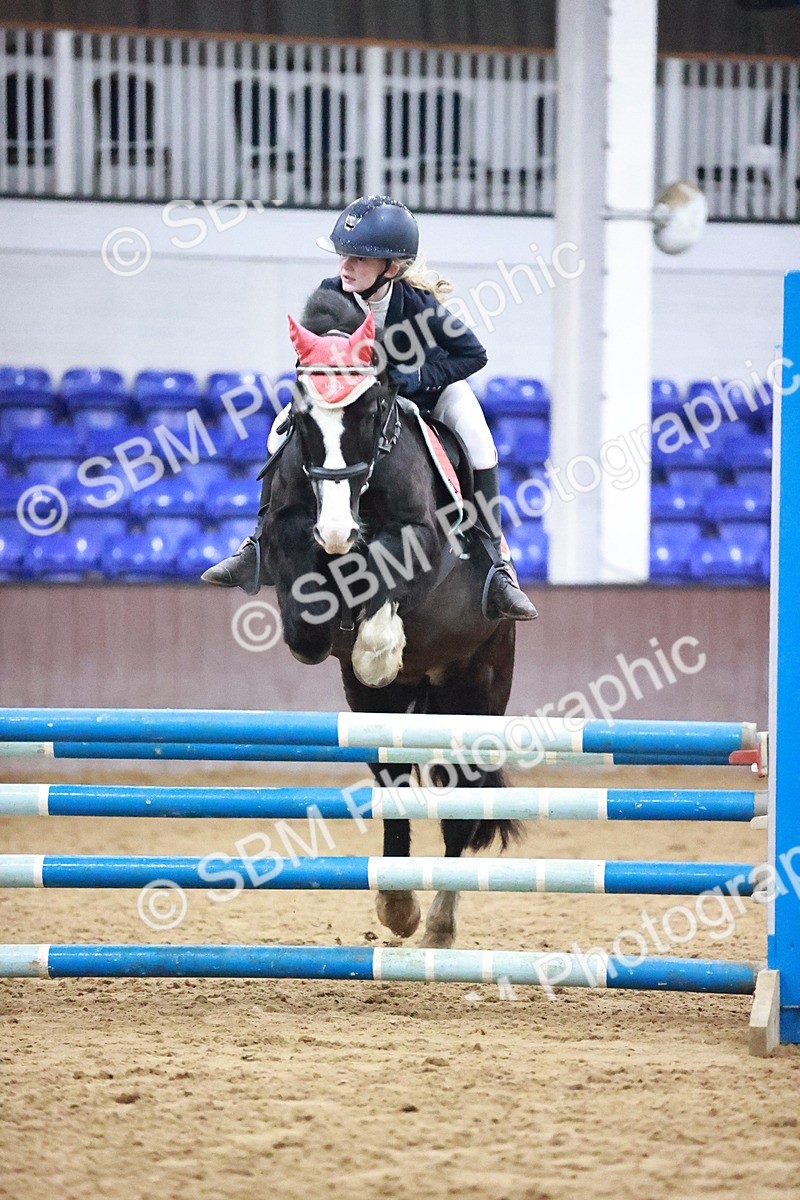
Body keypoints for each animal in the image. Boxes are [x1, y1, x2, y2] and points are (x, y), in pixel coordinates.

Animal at [262, 287, 520, 948]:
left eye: (373, 408)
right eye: (300, 415)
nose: (335, 531)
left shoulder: (421, 542)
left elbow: (382, 573)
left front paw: (378, 646)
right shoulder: (287, 532)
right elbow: (306, 617)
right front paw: (333, 625)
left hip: (475, 688)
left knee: (459, 808)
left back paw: (437, 926)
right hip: (380, 713)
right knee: (394, 779)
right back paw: (397, 903)